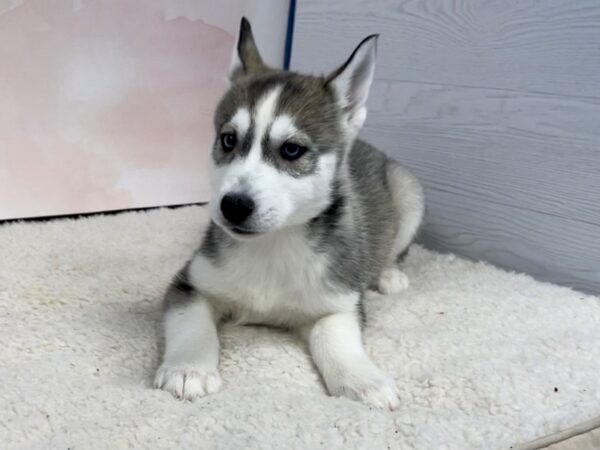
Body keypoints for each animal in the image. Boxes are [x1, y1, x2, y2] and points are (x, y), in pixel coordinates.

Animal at [155, 18, 426, 412]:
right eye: (228, 140)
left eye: (292, 150)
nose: (233, 205)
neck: (273, 246)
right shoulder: (190, 284)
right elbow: (192, 325)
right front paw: (189, 367)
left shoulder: (339, 302)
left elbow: (334, 337)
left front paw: (363, 379)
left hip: (409, 190)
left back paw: (389, 274)